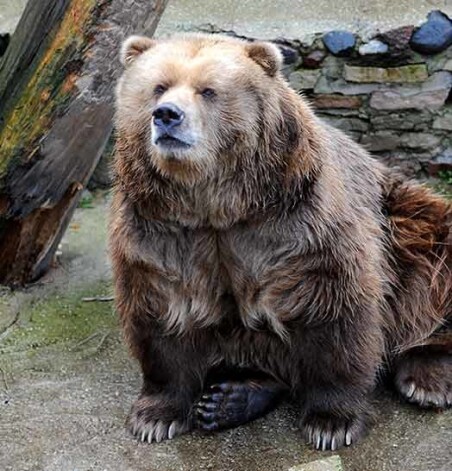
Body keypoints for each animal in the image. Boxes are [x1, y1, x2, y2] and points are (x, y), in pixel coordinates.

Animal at [110, 32, 452, 450]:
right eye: (159, 86)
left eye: (208, 90)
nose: (166, 115)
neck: (216, 202)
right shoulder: (163, 228)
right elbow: (159, 307)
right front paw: (154, 417)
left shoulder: (298, 222)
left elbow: (332, 308)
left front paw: (331, 423)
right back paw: (229, 399)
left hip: (401, 214)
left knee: (429, 262)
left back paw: (426, 377)